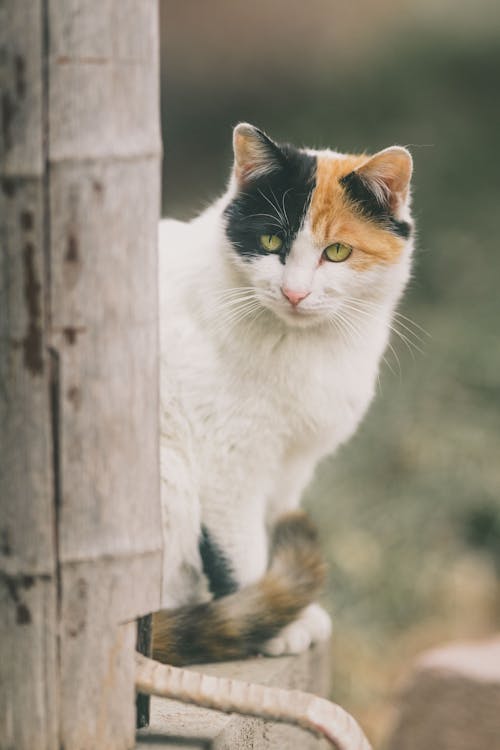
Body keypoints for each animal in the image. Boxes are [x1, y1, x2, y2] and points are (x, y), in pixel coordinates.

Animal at [153, 125, 414, 668]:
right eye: (271, 240)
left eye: (337, 252)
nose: (294, 293)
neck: (303, 347)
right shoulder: (228, 464)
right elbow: (242, 549)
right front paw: (270, 623)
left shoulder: (291, 466)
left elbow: (274, 525)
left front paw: (285, 606)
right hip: (169, 473)